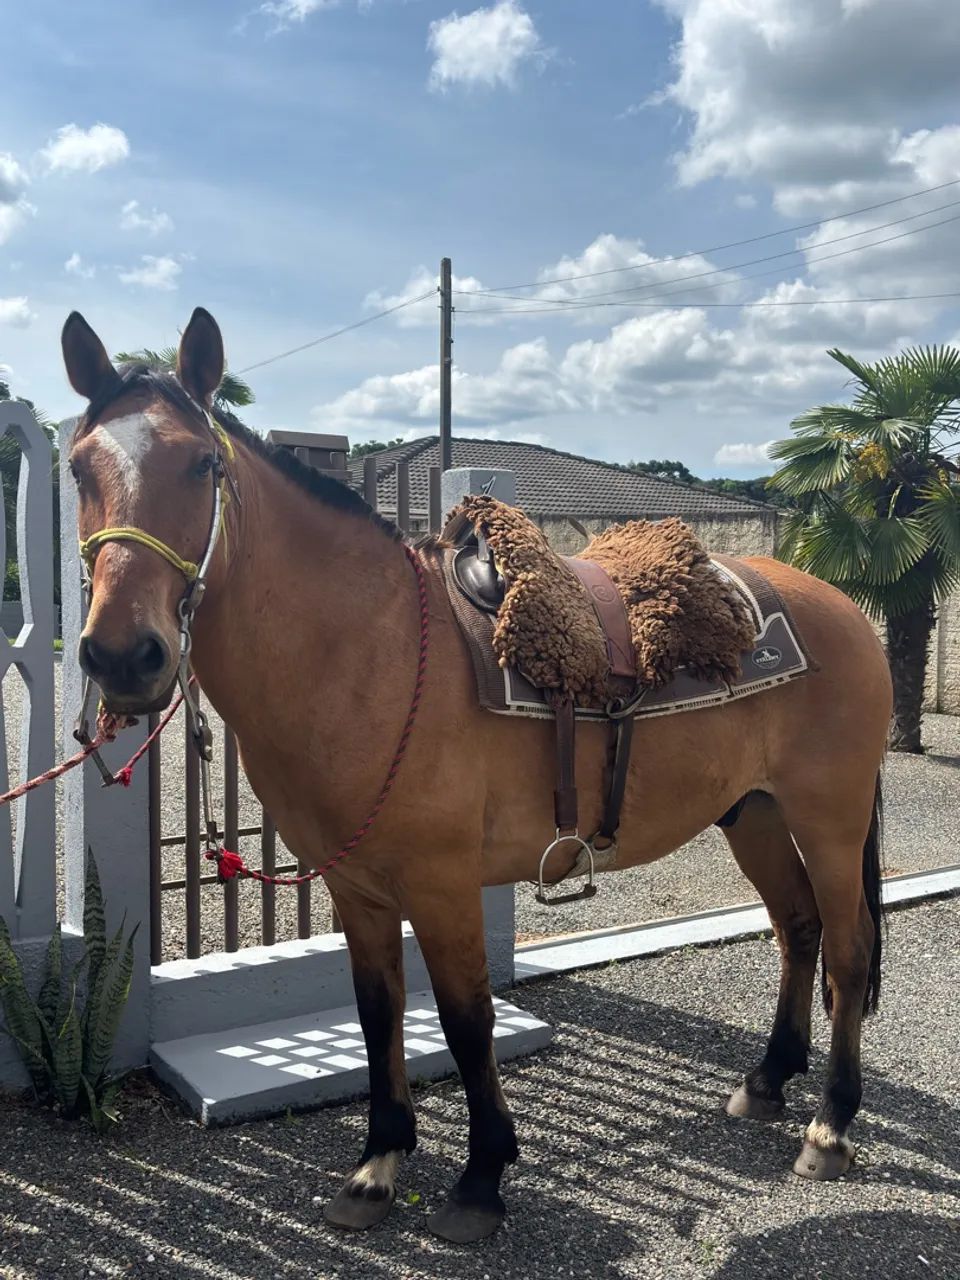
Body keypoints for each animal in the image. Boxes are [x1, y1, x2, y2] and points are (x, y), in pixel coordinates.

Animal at [63, 307, 892, 1244]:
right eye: (78, 466)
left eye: (202, 463)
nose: (123, 655)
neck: (372, 650)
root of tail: (843, 609)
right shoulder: (360, 890)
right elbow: (378, 1013)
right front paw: (378, 1165)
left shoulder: (444, 885)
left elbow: (466, 1021)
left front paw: (482, 1177)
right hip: (753, 813)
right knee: (797, 928)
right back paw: (768, 1081)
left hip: (829, 818)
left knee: (850, 948)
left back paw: (831, 1124)